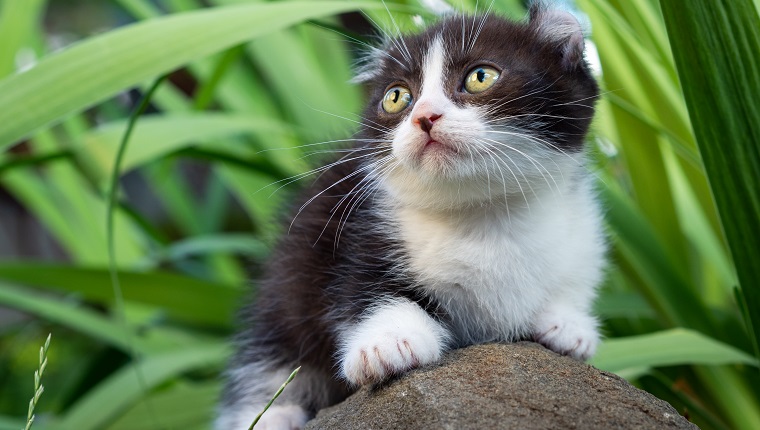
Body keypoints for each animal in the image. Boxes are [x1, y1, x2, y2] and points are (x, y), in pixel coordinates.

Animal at [217, 4, 604, 430]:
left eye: (480, 76)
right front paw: (388, 343)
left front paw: (568, 325)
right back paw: (273, 415)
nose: (425, 117)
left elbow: (573, 278)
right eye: (397, 97)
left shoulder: (581, 231)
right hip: (287, 285)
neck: (484, 213)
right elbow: (367, 289)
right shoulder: (357, 231)